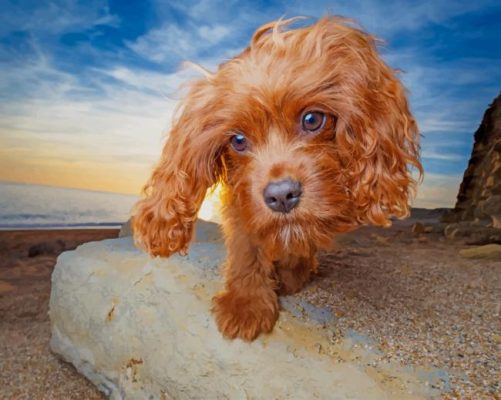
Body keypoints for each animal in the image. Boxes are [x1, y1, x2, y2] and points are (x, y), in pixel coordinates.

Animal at [134, 15, 422, 340]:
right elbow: (245, 245)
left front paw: (293, 271)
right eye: (237, 140)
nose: (281, 195)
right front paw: (247, 301)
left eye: (312, 119)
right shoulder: (239, 199)